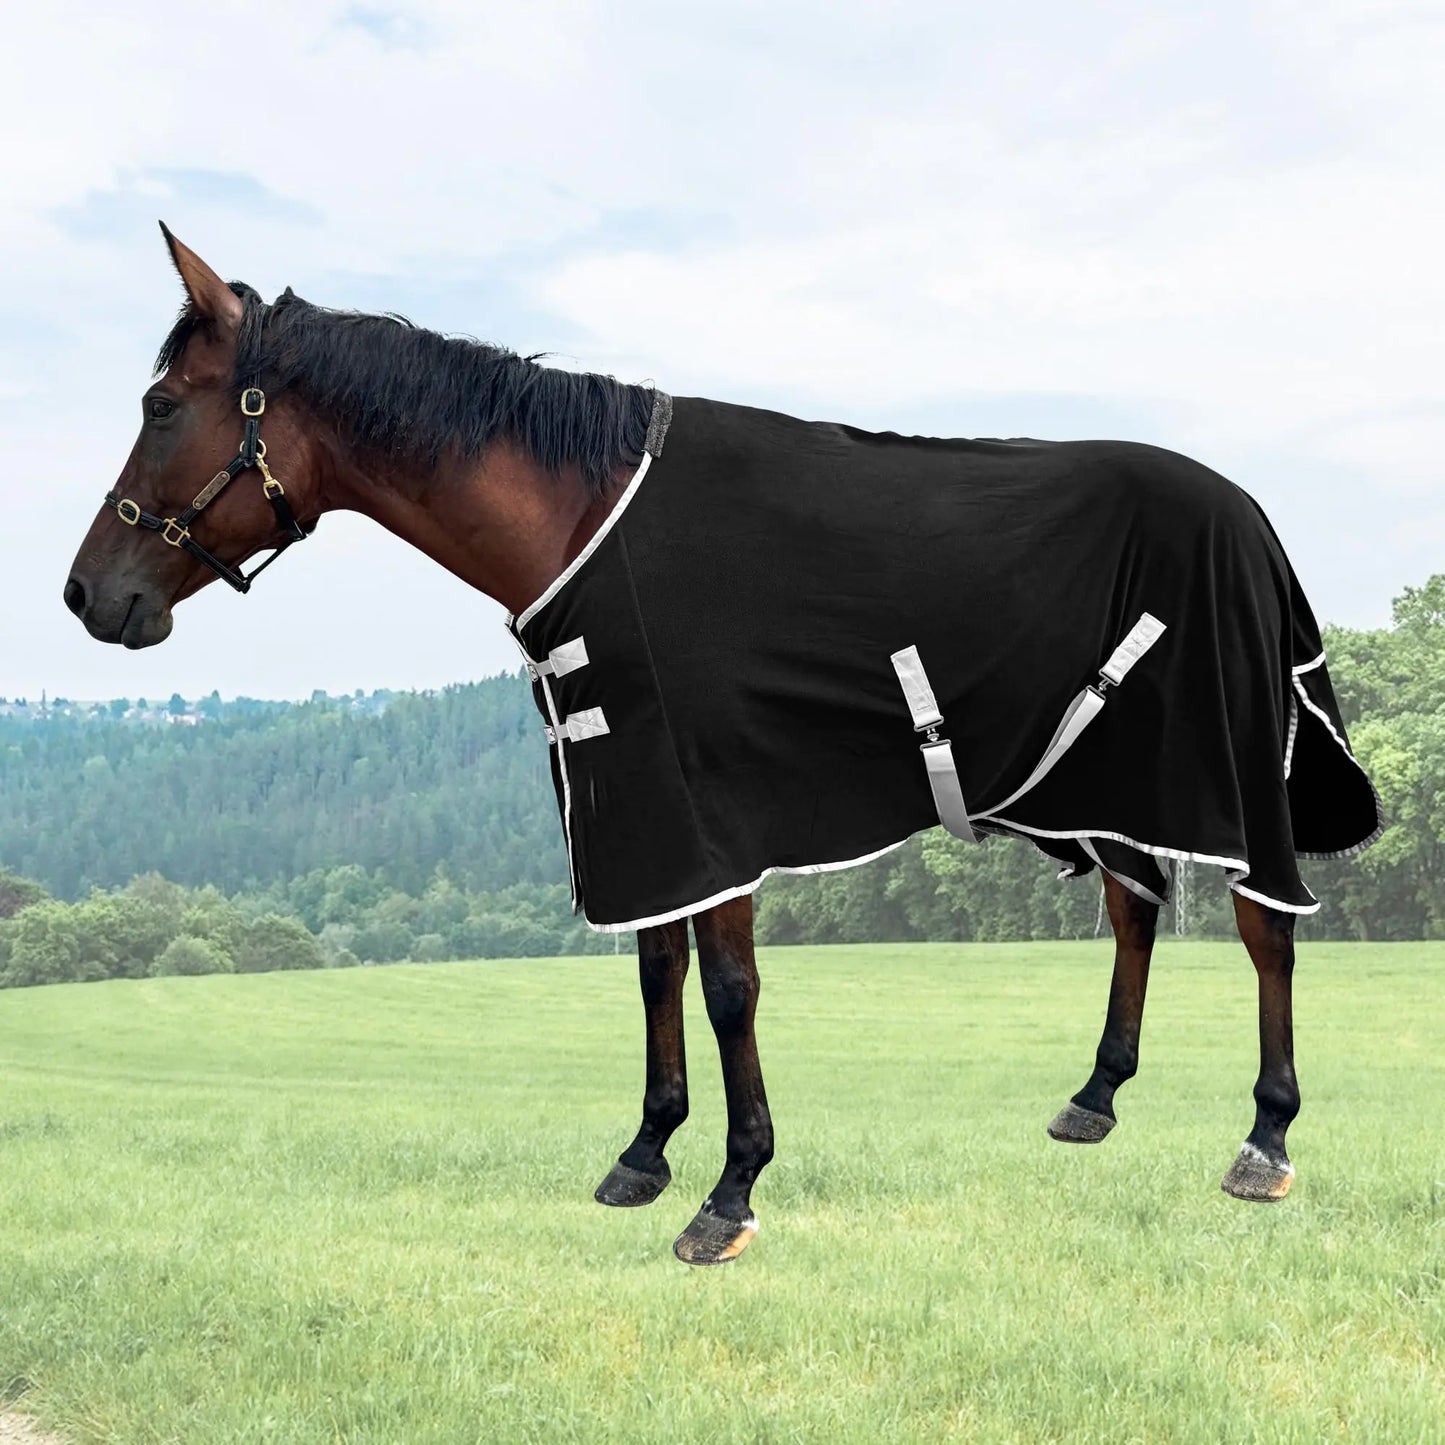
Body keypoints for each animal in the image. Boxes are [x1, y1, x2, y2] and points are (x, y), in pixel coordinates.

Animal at [65, 226, 1382, 1265]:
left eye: (161, 407)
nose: (90, 595)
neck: (583, 519)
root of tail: (1248, 511)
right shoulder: (632, 798)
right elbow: (656, 970)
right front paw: (646, 1149)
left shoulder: (703, 804)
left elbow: (727, 987)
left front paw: (730, 1191)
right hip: (1099, 777)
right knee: (1133, 902)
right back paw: (1094, 1094)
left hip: (1220, 768)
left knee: (1262, 925)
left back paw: (1264, 1134)